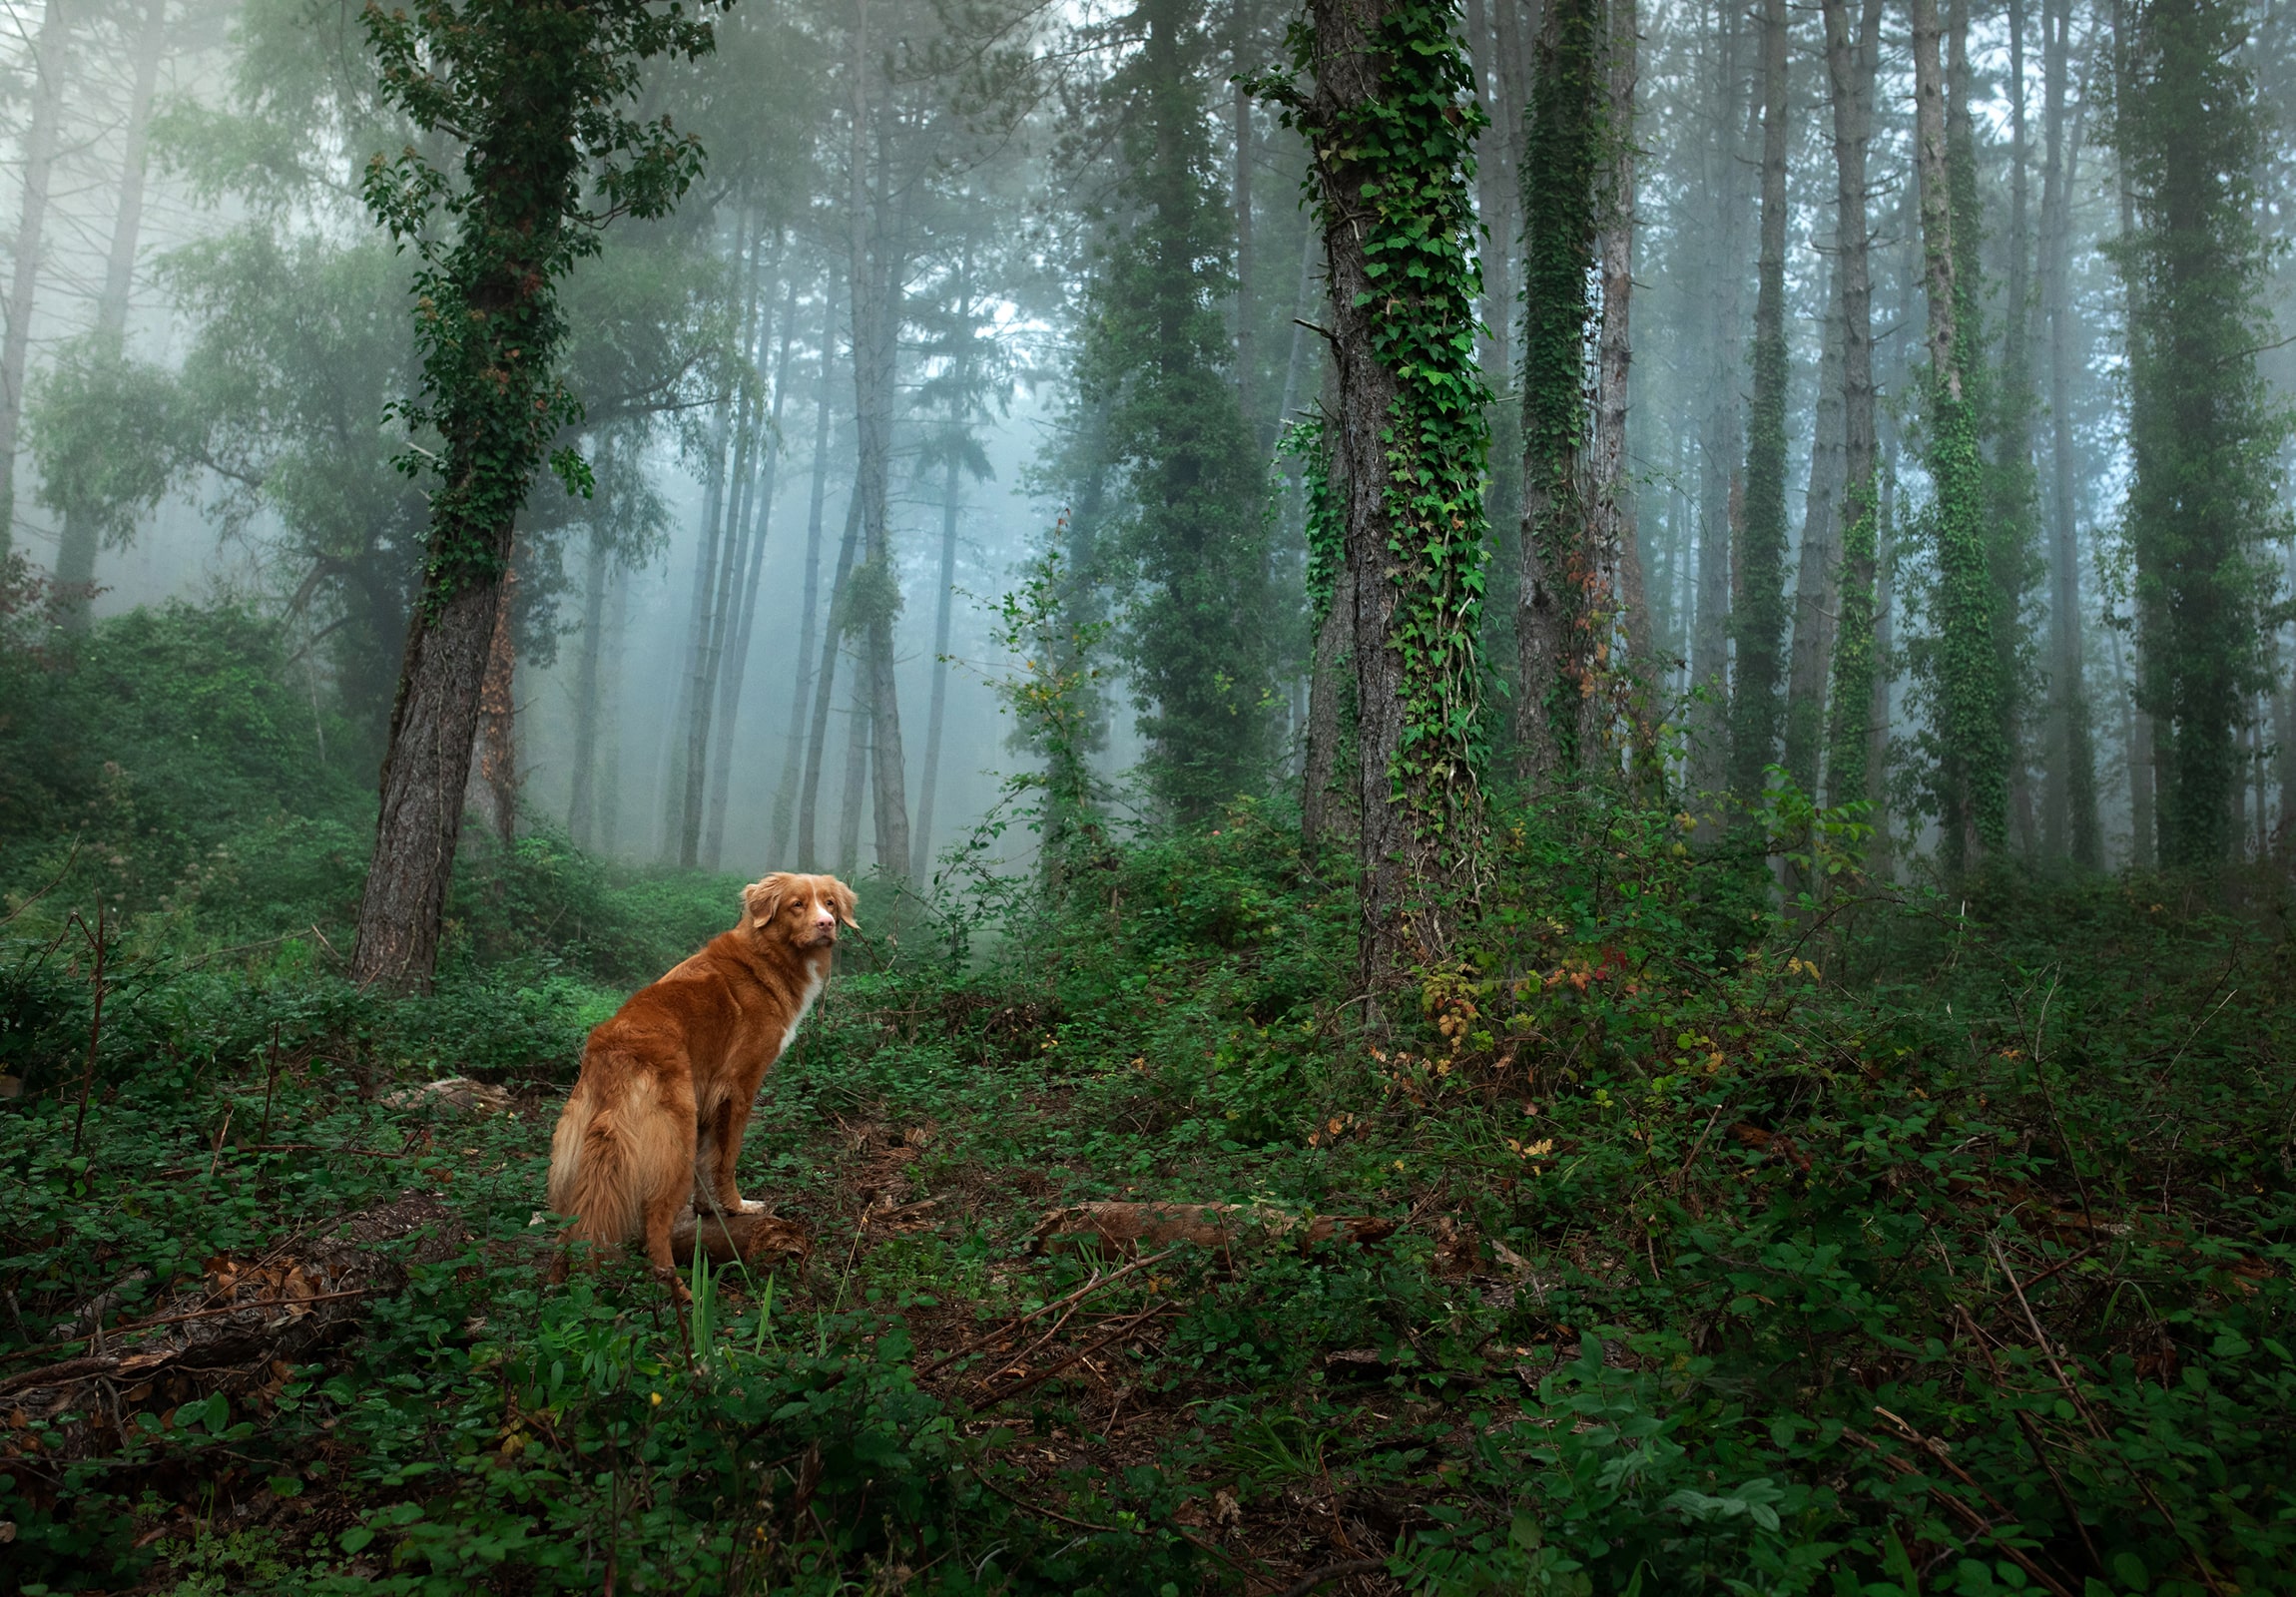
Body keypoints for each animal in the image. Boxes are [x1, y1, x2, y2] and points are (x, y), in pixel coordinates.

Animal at [541, 866, 859, 1276]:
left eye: (830, 903)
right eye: (796, 905)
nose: (827, 924)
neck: (766, 956)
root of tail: (612, 1048)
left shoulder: (710, 1095)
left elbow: (707, 1165)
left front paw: (707, 1209)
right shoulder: (739, 1088)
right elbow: (725, 1159)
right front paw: (737, 1207)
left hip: (574, 1159)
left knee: (564, 1238)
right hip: (675, 1140)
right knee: (655, 1231)